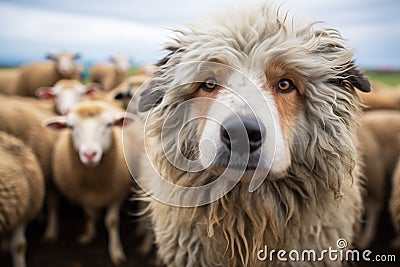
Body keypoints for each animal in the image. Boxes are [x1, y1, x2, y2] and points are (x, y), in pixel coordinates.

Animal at [43, 101, 137, 266]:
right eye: (71, 126)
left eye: (109, 124)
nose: (89, 155)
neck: (94, 182)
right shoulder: (82, 193)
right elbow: (88, 214)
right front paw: (88, 234)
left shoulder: (118, 192)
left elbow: (112, 222)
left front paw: (116, 251)